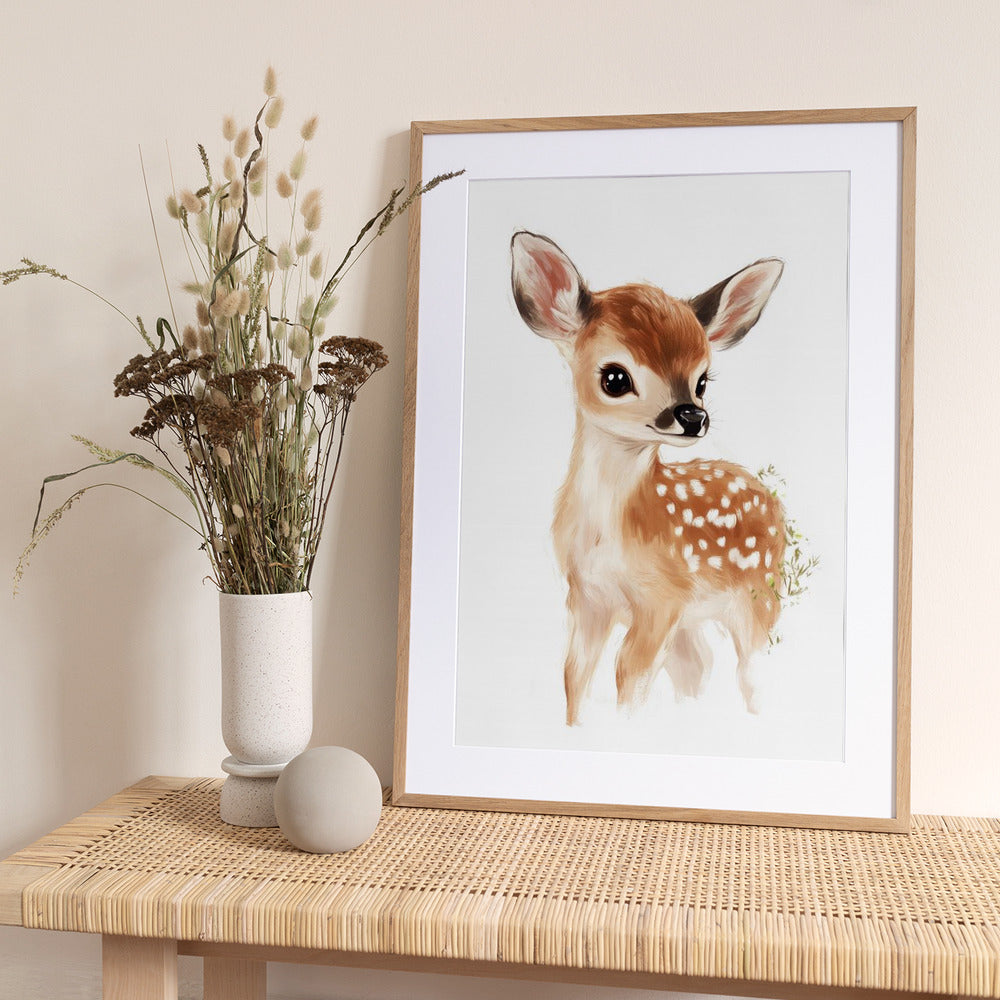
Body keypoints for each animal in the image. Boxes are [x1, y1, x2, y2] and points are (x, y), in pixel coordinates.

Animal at [510, 231, 786, 726]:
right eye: (615, 378)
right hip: (698, 617)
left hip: (759, 595)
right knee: (698, 666)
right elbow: (574, 675)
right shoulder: (586, 596)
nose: (692, 416)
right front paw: (575, 727)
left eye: (702, 381)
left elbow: (628, 676)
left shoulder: (663, 597)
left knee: (752, 672)